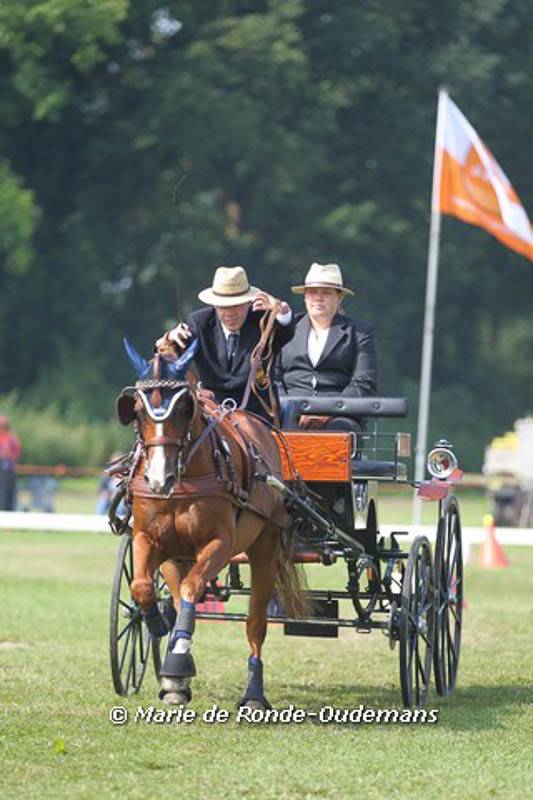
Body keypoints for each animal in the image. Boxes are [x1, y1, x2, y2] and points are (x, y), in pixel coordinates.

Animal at [118, 340, 306, 708]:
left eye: (183, 408)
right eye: (138, 410)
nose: (159, 479)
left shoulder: (220, 544)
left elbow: (193, 588)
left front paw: (177, 660)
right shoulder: (148, 538)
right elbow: (143, 587)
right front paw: (160, 631)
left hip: (264, 546)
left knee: (255, 623)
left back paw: (253, 693)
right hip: (176, 557)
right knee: (177, 597)